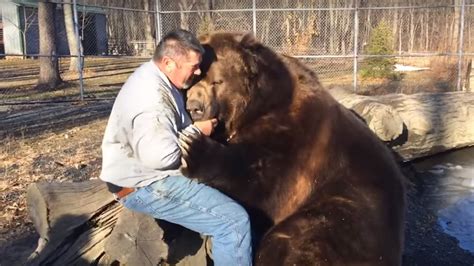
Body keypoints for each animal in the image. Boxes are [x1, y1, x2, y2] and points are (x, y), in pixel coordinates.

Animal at [181, 32, 408, 264]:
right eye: (192, 82)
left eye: (217, 81)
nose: (195, 108)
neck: (260, 107)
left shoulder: (294, 141)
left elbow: (260, 182)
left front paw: (193, 147)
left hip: (347, 212)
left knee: (294, 237)